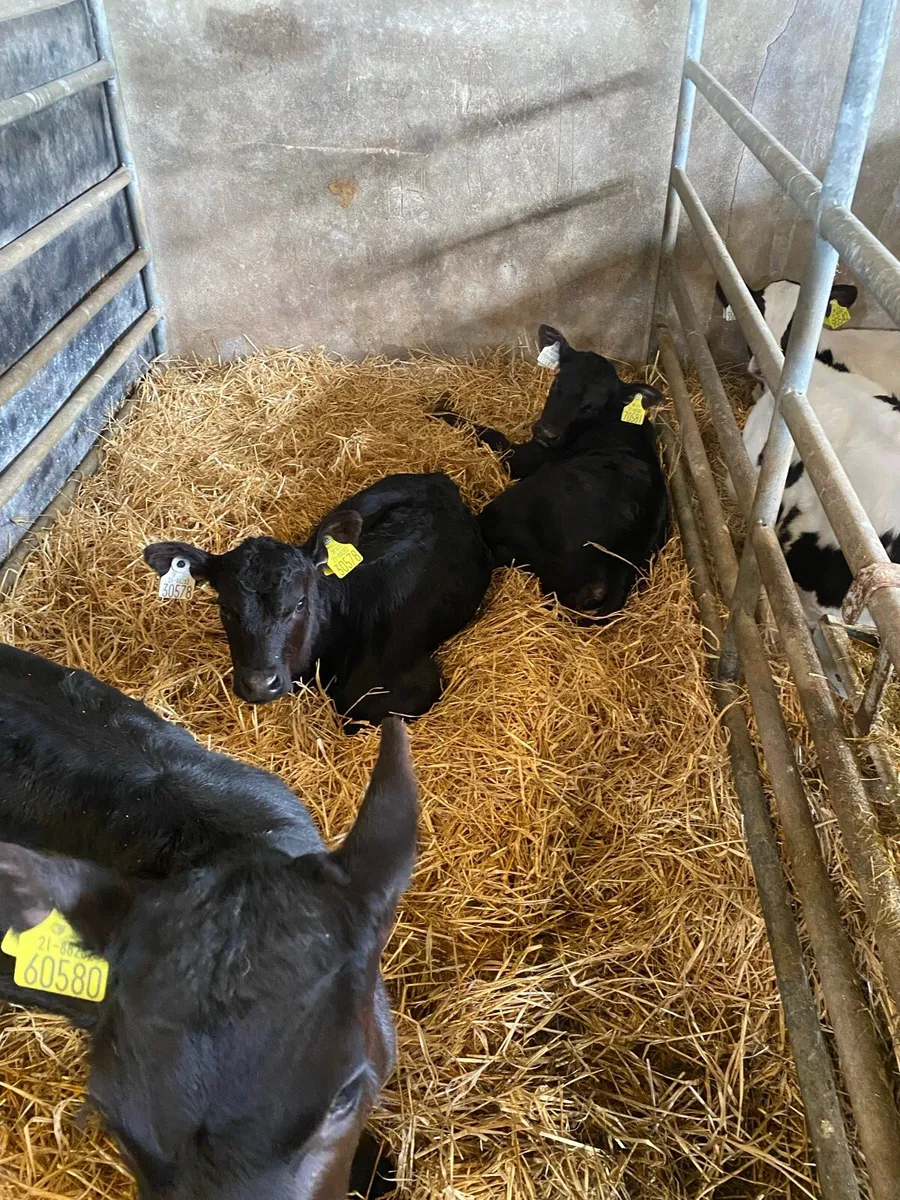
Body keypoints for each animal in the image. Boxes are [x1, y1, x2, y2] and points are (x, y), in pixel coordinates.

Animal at [434, 325, 669, 619]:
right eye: (557, 383)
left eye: (591, 406)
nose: (546, 433)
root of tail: (622, 567)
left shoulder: (524, 458)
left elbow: (492, 435)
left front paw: (441, 408)